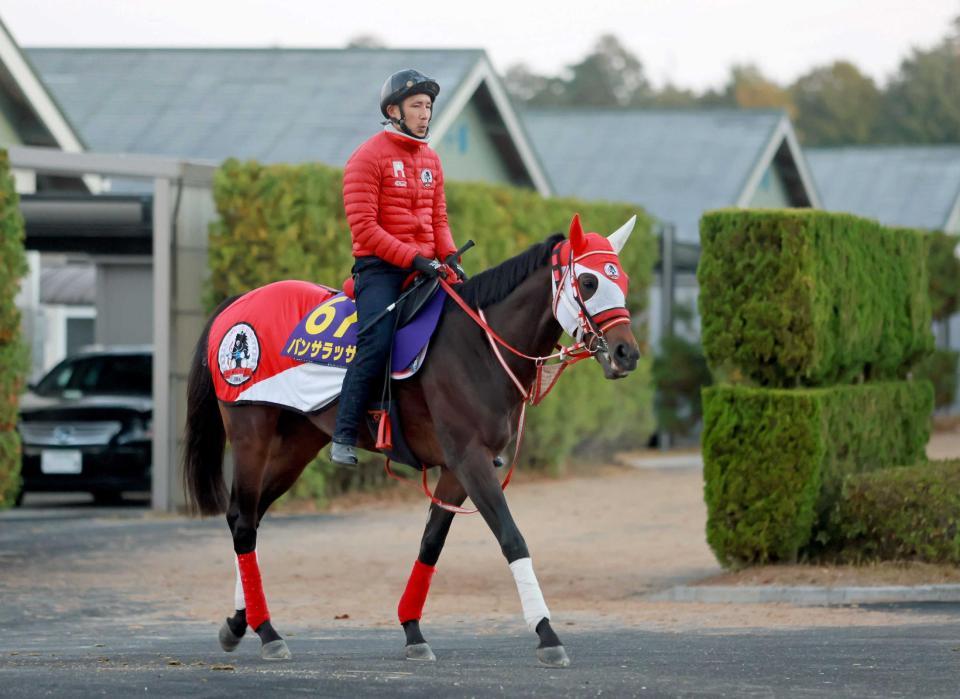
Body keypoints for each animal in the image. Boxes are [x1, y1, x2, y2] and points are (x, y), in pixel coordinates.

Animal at [184, 213, 640, 668]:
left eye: (623, 279)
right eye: (588, 282)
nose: (626, 353)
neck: (478, 345)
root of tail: (238, 303)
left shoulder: (458, 469)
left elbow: (431, 543)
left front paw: (412, 629)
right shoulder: (470, 460)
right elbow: (511, 537)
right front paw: (546, 632)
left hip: (297, 444)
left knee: (249, 518)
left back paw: (240, 622)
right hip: (252, 434)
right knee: (244, 522)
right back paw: (266, 630)